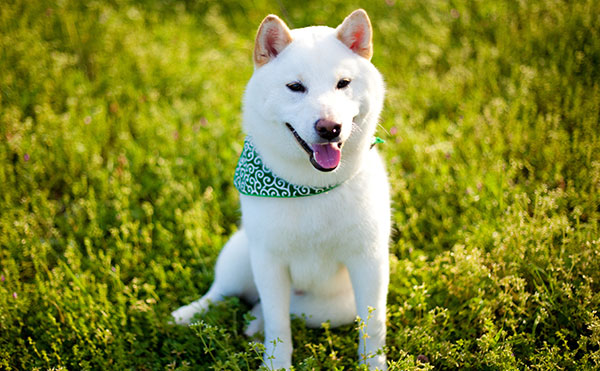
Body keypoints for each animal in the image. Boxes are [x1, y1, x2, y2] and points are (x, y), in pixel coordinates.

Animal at [172, 9, 390, 371]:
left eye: (343, 83)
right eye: (296, 87)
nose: (329, 128)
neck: (310, 187)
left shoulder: (369, 262)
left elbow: (372, 326)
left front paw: (373, 364)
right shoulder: (269, 263)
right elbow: (278, 326)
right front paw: (276, 362)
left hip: (329, 309)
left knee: (275, 309)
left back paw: (253, 322)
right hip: (240, 256)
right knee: (221, 293)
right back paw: (189, 314)